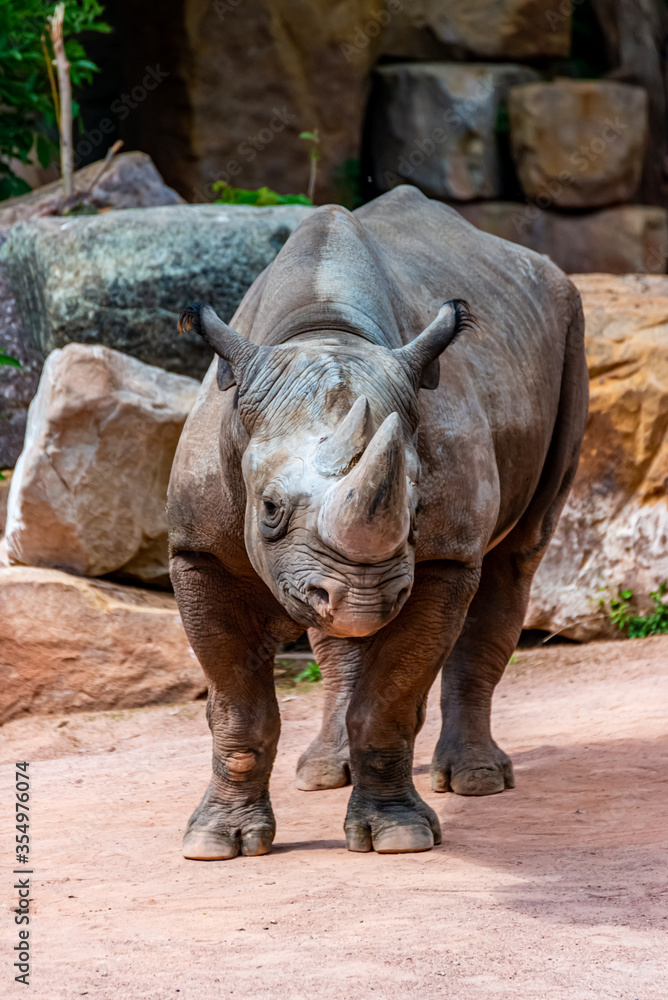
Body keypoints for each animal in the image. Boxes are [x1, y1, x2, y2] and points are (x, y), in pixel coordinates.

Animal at [168, 185, 588, 859]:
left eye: (417, 508)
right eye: (269, 509)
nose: (365, 596)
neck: (325, 331)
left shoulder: (443, 556)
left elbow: (391, 698)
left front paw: (398, 836)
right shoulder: (198, 552)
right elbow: (237, 705)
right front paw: (216, 842)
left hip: (570, 326)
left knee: (517, 557)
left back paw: (475, 780)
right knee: (336, 635)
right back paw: (322, 773)